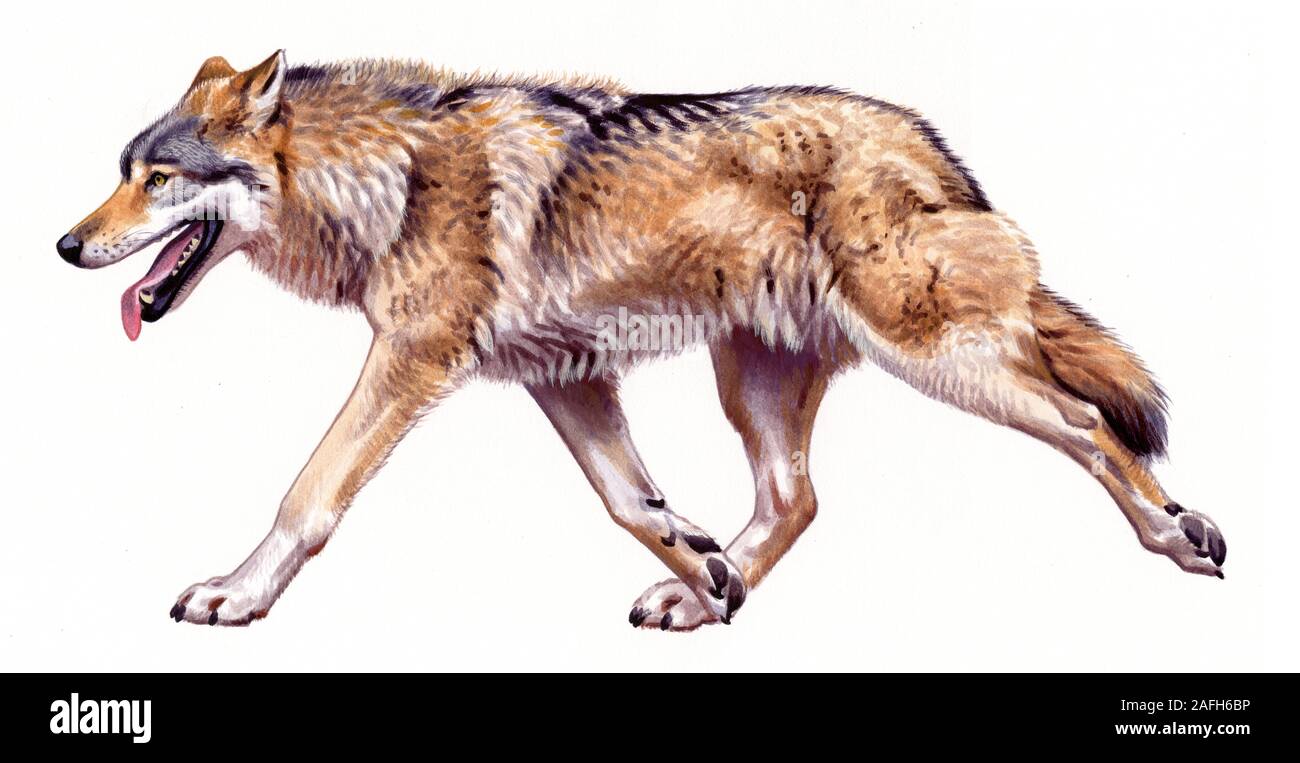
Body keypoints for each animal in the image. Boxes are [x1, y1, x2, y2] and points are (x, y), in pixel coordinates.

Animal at [58, 51, 1225, 629]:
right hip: (750, 381)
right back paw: (707, 596)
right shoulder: (563, 376)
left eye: (155, 178)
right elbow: (631, 501)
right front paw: (697, 565)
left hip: (939, 356)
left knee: (1085, 422)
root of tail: (940, 151)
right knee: (795, 496)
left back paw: (1181, 534)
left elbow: (307, 493)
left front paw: (235, 595)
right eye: (122, 171)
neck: (387, 179)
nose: (66, 245)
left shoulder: (409, 361)